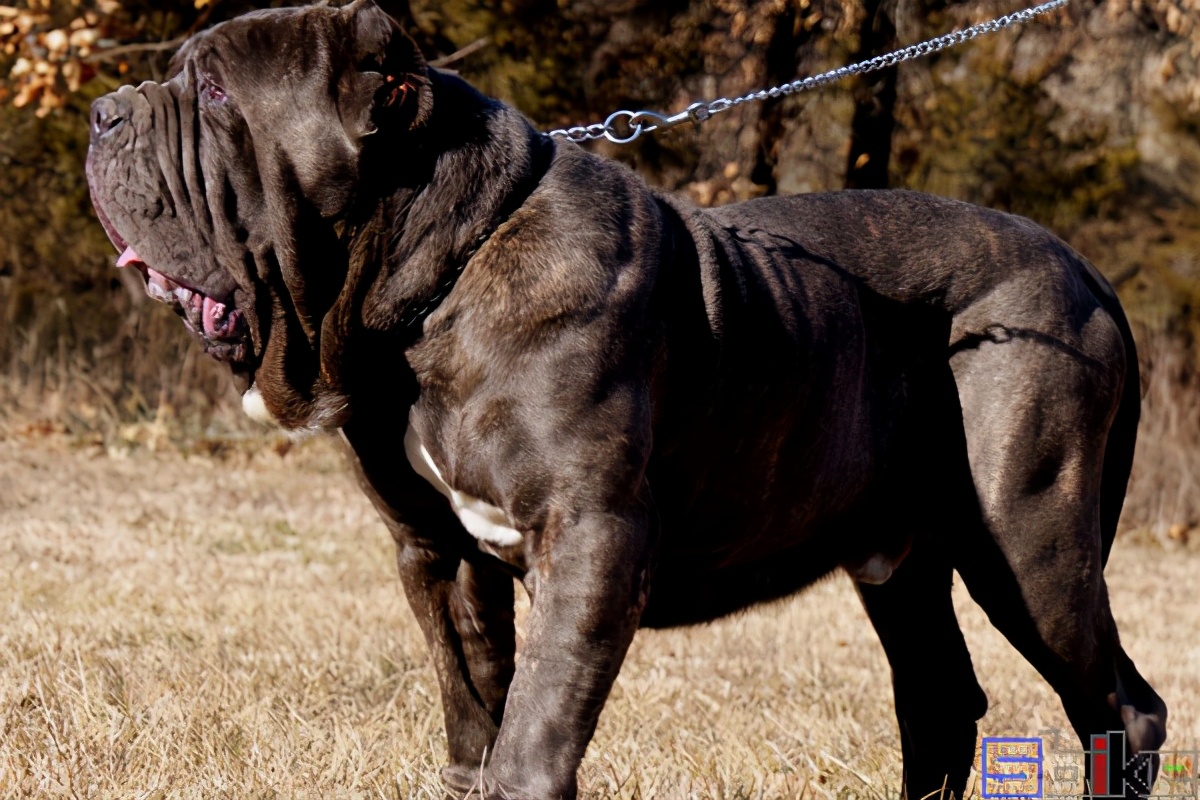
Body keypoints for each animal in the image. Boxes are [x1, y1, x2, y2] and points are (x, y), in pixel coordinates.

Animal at [87, 3, 1171, 796]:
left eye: (215, 91)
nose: (105, 111)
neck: (440, 280)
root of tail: (1086, 272)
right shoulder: (435, 552)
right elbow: (475, 709)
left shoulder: (592, 535)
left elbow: (535, 729)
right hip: (900, 559)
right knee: (942, 700)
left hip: (1026, 537)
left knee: (1121, 706)